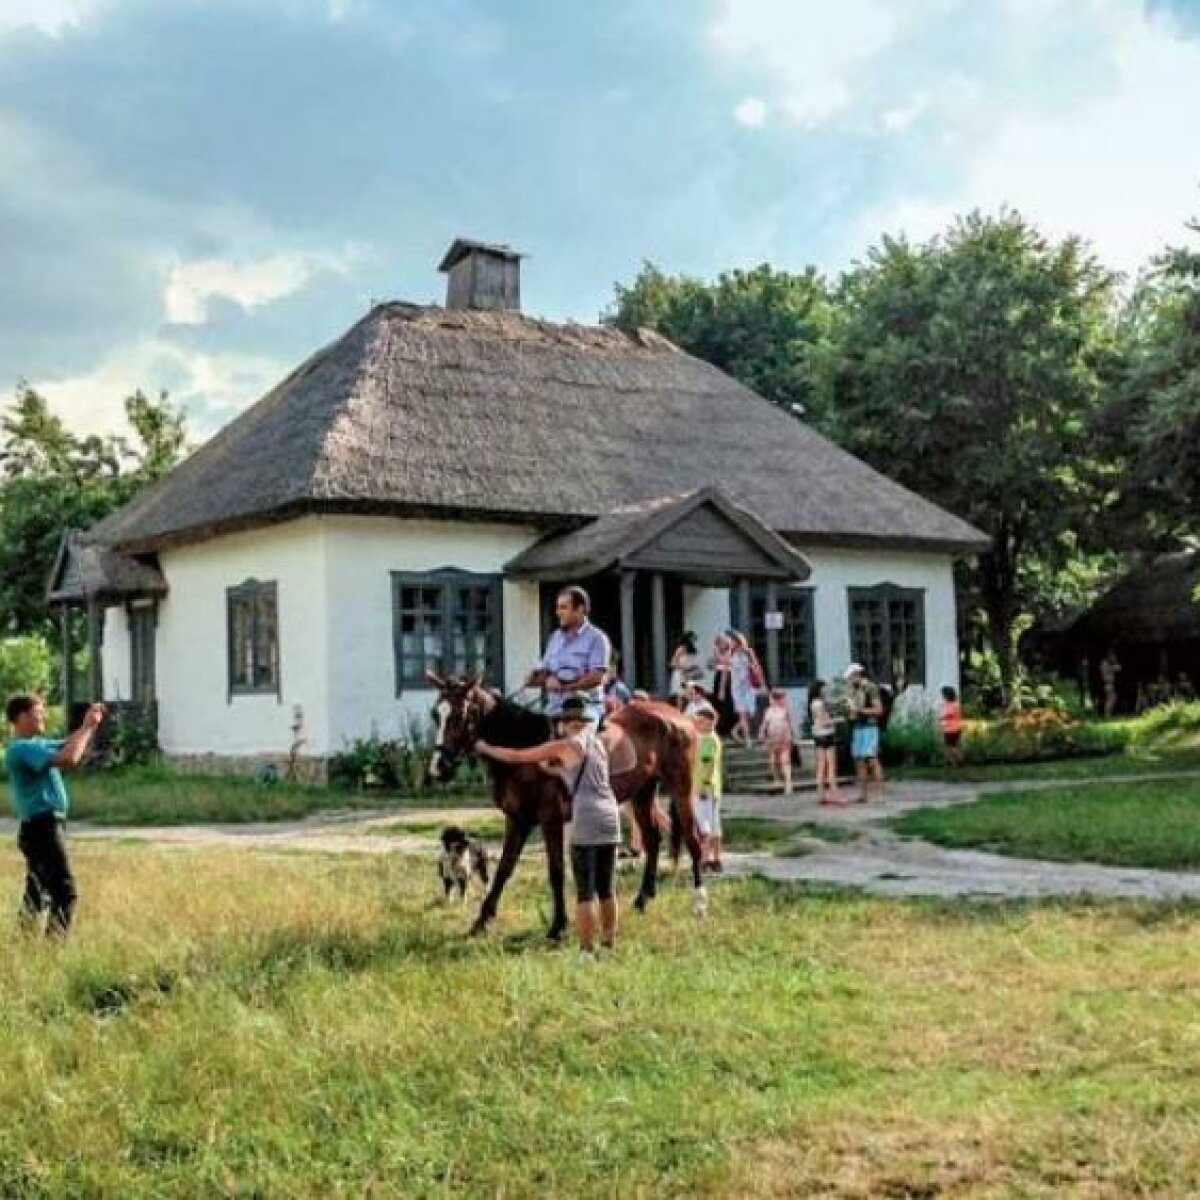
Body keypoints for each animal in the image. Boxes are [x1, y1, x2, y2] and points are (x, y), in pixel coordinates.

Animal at [429, 676, 700, 936]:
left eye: (460, 714)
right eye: (435, 714)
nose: (438, 768)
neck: (524, 749)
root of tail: (676, 715)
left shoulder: (551, 820)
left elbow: (556, 871)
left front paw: (558, 925)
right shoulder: (517, 819)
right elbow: (504, 869)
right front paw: (481, 921)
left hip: (681, 787)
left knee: (693, 839)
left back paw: (699, 902)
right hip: (643, 793)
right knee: (653, 840)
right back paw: (642, 900)